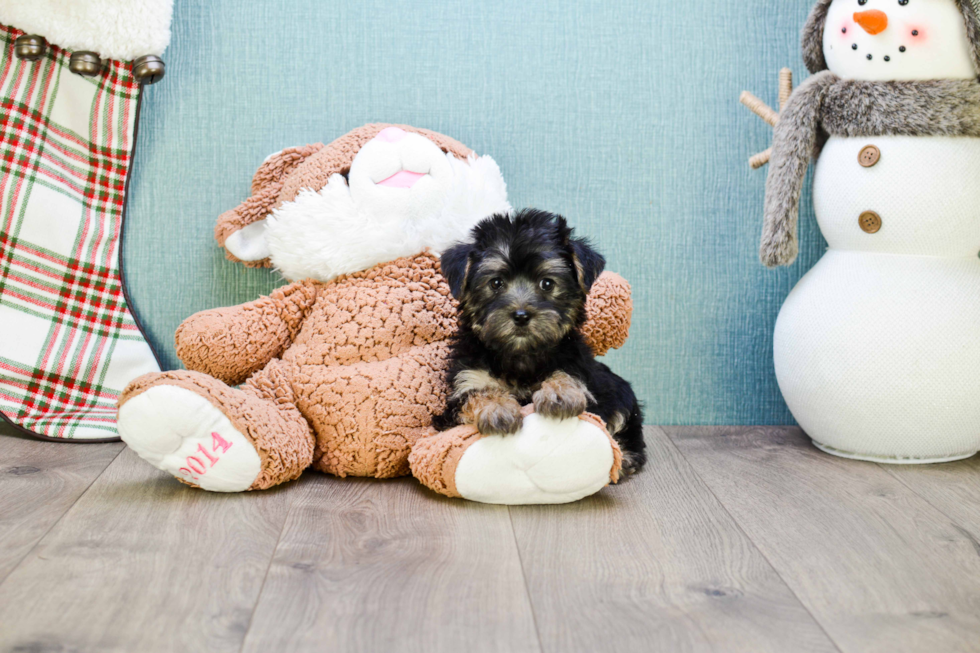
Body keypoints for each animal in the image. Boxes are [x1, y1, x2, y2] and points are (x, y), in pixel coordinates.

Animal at [432, 209, 648, 474]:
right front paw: (497, 408)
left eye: (547, 283)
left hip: (621, 393)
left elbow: (566, 375)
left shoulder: (576, 365)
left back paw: (626, 456)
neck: (520, 355)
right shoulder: (465, 382)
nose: (521, 315)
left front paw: (560, 393)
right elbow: (477, 392)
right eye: (496, 283)